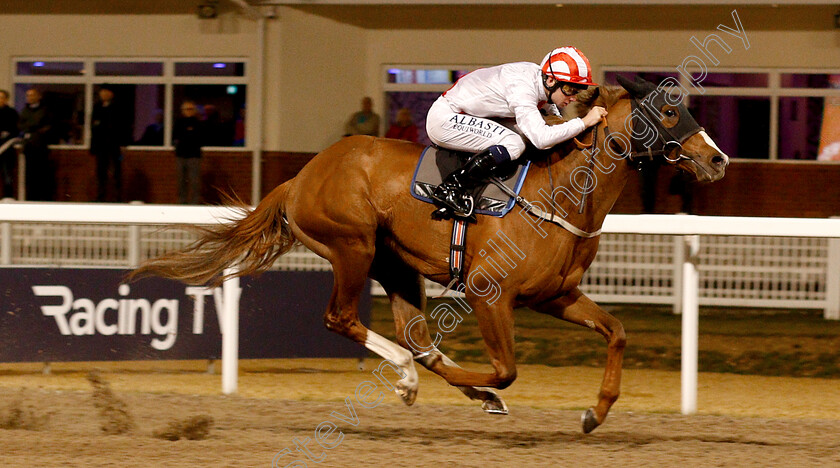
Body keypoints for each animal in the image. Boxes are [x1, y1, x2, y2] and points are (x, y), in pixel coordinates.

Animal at [131, 77, 728, 432]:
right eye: (668, 113)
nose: (717, 160)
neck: (560, 193)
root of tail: (300, 176)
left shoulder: (555, 295)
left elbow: (617, 332)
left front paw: (594, 412)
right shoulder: (491, 294)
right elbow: (506, 370)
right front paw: (480, 388)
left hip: (394, 264)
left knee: (413, 335)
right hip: (351, 245)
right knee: (346, 320)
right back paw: (411, 377)